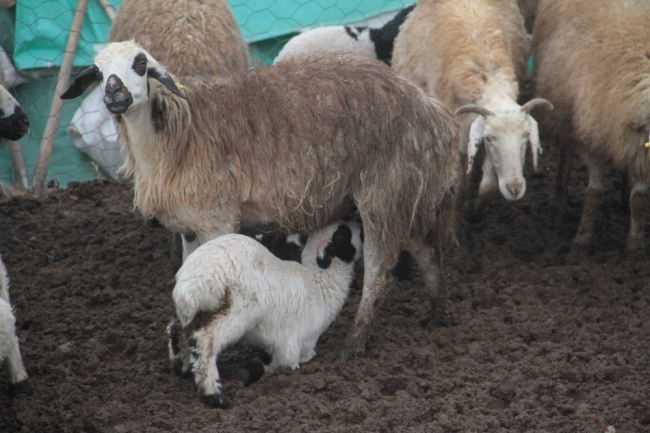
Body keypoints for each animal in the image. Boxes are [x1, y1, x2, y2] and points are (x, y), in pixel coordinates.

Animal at [58, 43, 460, 362]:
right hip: (405, 195)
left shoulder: (216, 218)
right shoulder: (189, 226)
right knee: (426, 253)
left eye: (141, 63)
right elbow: (184, 276)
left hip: (383, 193)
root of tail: (434, 115)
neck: (175, 132)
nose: (115, 94)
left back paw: (353, 344)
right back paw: (437, 314)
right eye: (98, 72)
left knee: (379, 272)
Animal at [167, 221, 362, 406]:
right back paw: (215, 396)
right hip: (242, 310)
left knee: (177, 329)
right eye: (342, 234)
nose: (360, 227)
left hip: (197, 311)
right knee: (205, 340)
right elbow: (287, 362)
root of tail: (193, 281)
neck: (320, 290)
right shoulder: (292, 346)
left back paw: (182, 368)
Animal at [392, 0, 548, 216]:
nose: (515, 189)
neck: (488, 78)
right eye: (489, 138)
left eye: (526, 135)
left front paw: (476, 211)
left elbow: (488, 187)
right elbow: (458, 188)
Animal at [528, 0, 648, 258]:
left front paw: (634, 247)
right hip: (567, 113)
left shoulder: (639, 149)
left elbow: (640, 200)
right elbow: (593, 195)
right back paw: (557, 206)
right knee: (565, 155)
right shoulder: (592, 137)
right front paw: (581, 242)